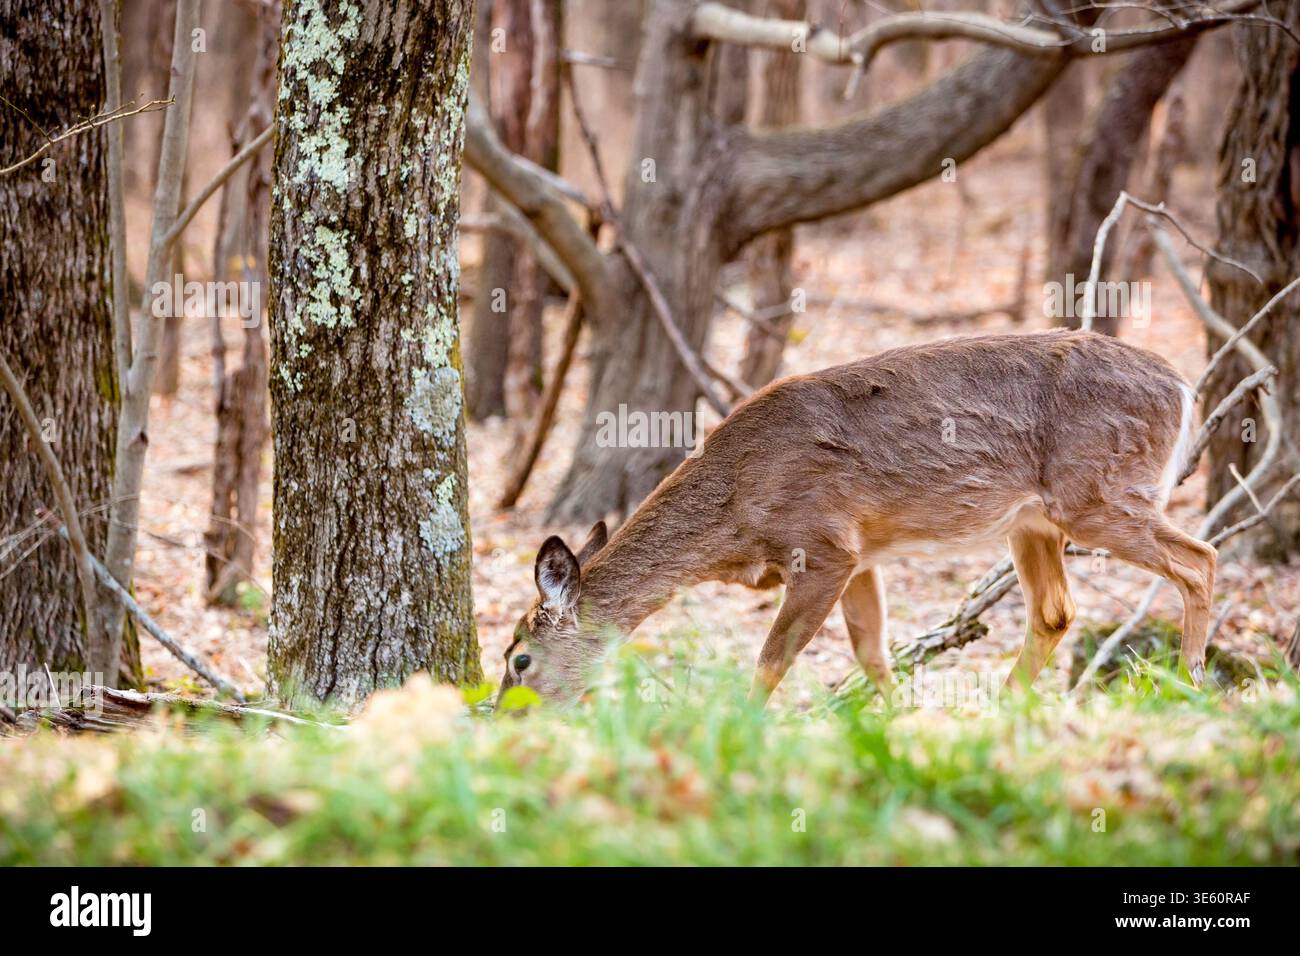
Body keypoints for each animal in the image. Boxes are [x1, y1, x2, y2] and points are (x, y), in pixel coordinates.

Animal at [496, 329, 1216, 708]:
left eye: (520, 658)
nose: (504, 716)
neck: (735, 512)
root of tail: (1184, 389)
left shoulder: (822, 545)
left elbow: (771, 659)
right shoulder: (862, 553)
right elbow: (873, 653)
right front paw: (894, 727)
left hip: (1098, 492)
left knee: (1199, 559)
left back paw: (1190, 683)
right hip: (1033, 522)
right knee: (1056, 611)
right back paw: (1006, 708)